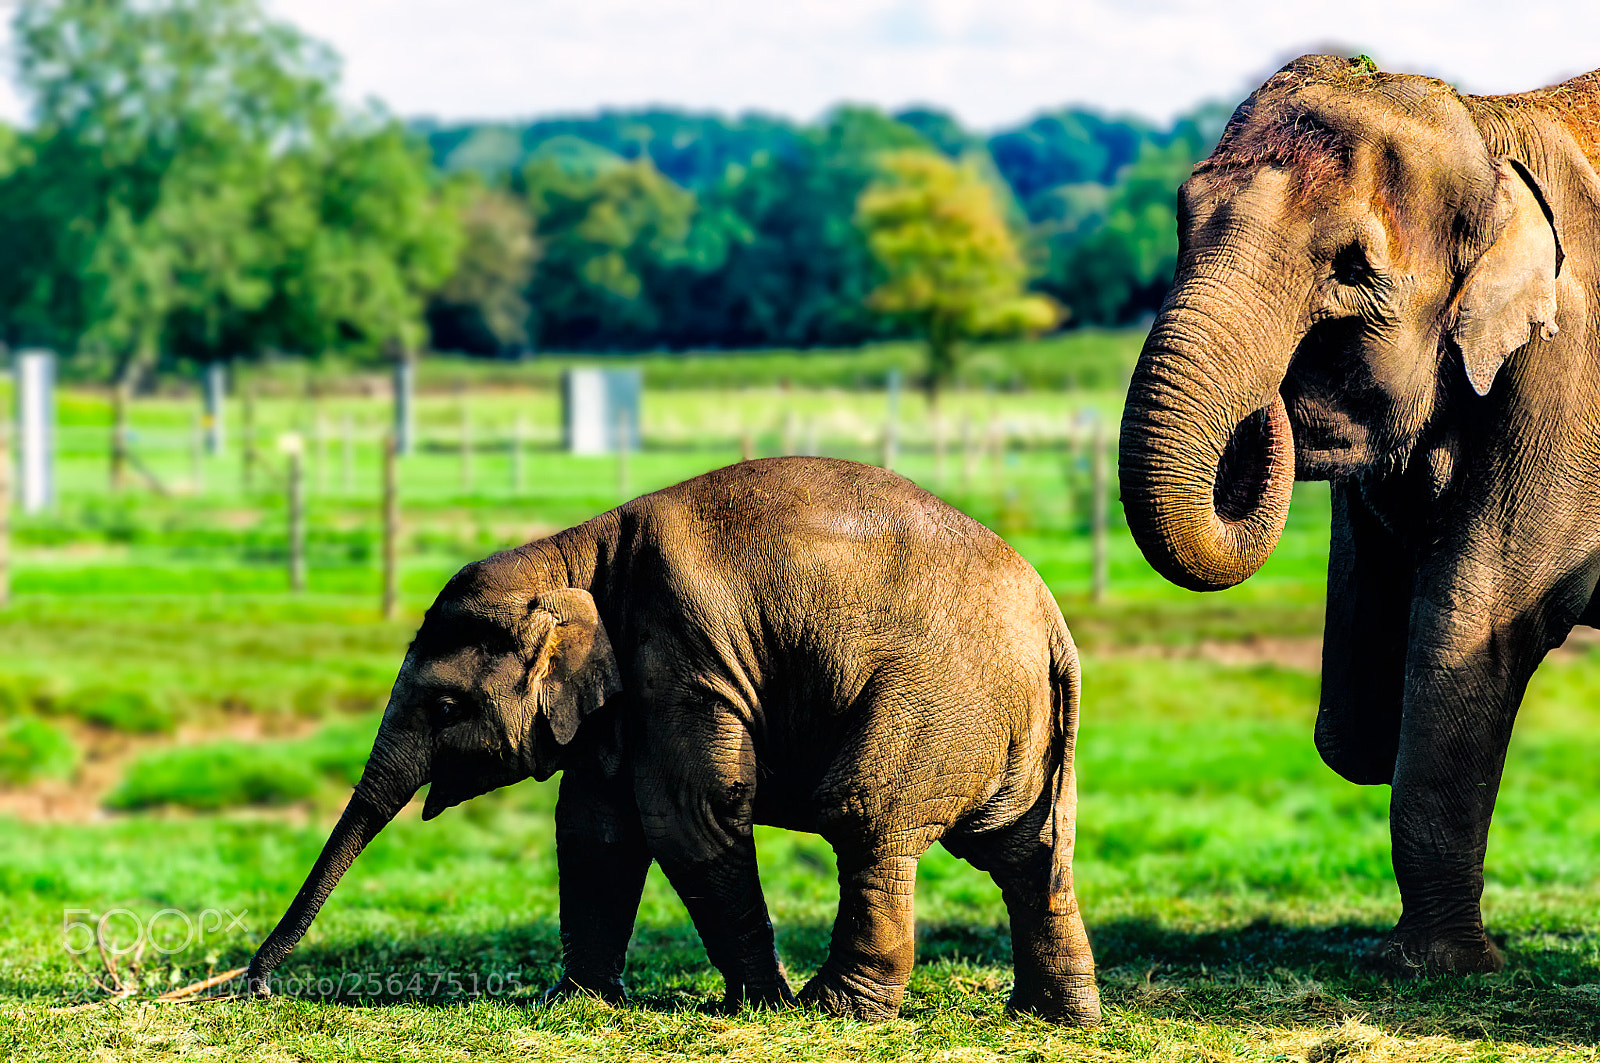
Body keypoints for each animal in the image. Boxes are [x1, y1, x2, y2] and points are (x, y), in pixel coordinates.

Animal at [245, 457, 1100, 1024]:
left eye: (447, 705)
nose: (254, 986)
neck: (571, 552)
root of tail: (1053, 626)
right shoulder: (625, 693)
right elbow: (594, 828)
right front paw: (576, 1001)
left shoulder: (680, 657)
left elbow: (690, 818)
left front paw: (760, 1005)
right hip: (1010, 730)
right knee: (1026, 853)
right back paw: (1053, 1016)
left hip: (931, 705)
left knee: (869, 823)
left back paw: (832, 1009)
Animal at [1118, 53, 1600, 975]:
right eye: (1181, 217)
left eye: (1350, 268)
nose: (1269, 401)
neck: (1490, 122)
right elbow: (1356, 705)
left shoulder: (1571, 384)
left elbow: (1475, 620)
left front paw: (1437, 967)